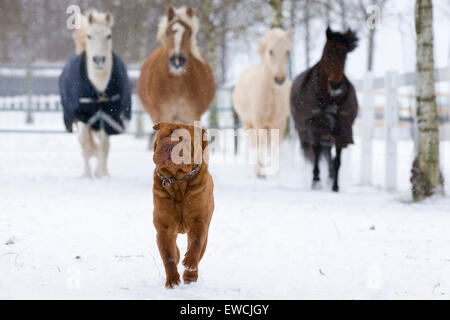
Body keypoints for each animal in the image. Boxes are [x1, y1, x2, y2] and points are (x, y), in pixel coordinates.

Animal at [152, 122, 214, 288]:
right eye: (162, 136)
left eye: (184, 140)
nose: (169, 145)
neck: (177, 181)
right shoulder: (164, 227)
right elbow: (168, 254)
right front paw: (172, 281)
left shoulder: (199, 221)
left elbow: (197, 242)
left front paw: (190, 262)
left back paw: (190, 275)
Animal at [232, 28, 292, 178]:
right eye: (270, 51)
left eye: (288, 51)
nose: (279, 79)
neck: (271, 94)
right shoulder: (259, 122)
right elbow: (262, 144)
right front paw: (261, 170)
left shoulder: (279, 123)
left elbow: (275, 145)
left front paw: (273, 171)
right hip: (249, 123)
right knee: (255, 141)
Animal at [292, 27, 358, 191]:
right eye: (328, 52)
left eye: (345, 54)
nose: (335, 84)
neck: (330, 99)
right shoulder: (316, 127)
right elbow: (316, 152)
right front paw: (316, 181)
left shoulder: (342, 130)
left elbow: (338, 159)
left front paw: (335, 185)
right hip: (305, 132)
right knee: (314, 152)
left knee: (327, 154)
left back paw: (330, 175)